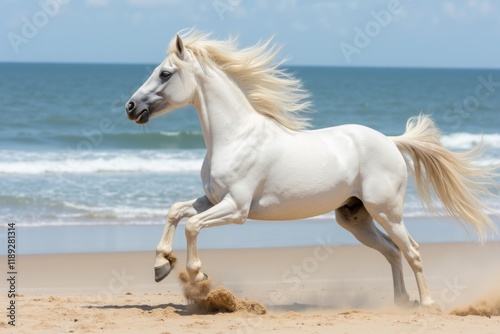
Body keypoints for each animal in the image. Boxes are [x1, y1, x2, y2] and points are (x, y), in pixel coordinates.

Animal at [126, 30, 496, 306]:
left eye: (165, 73)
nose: (130, 107)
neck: (235, 137)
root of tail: (390, 142)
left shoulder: (237, 208)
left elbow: (192, 226)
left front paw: (196, 276)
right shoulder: (213, 200)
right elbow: (176, 212)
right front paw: (161, 265)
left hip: (387, 212)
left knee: (413, 251)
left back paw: (427, 304)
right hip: (355, 218)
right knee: (393, 252)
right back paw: (402, 302)